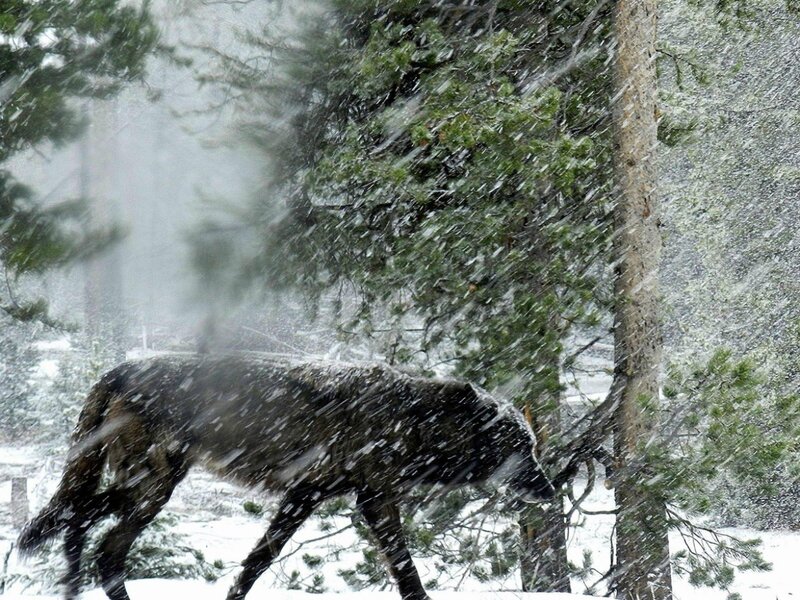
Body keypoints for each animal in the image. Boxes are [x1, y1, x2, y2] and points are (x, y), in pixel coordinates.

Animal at [18, 354, 554, 600]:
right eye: (523, 449)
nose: (551, 490)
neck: (414, 421)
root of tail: (121, 367)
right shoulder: (368, 498)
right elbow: (406, 569)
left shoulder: (309, 496)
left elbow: (255, 563)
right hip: (151, 488)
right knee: (87, 528)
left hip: (151, 489)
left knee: (91, 533)